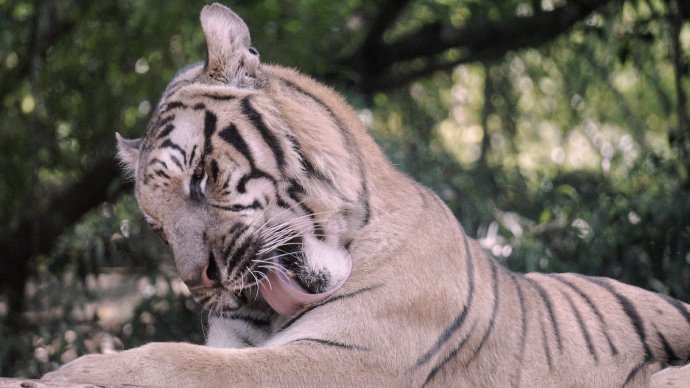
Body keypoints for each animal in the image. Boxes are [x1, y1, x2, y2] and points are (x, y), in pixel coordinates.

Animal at [44, 3, 688, 388]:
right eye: (155, 225)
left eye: (200, 177)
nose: (197, 282)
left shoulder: (340, 357)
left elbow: (175, 358)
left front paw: (73, 373)